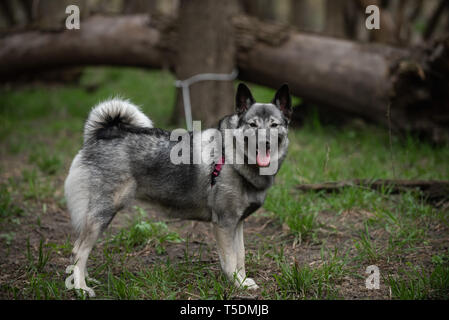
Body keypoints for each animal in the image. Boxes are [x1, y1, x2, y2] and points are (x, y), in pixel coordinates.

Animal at [65, 83, 292, 298]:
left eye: (274, 125)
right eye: (252, 125)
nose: (265, 142)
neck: (233, 156)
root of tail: (102, 134)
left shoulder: (237, 223)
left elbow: (241, 255)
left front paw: (243, 281)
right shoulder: (224, 224)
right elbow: (230, 260)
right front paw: (237, 283)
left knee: (81, 250)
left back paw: (83, 279)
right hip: (102, 214)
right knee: (79, 250)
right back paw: (80, 288)